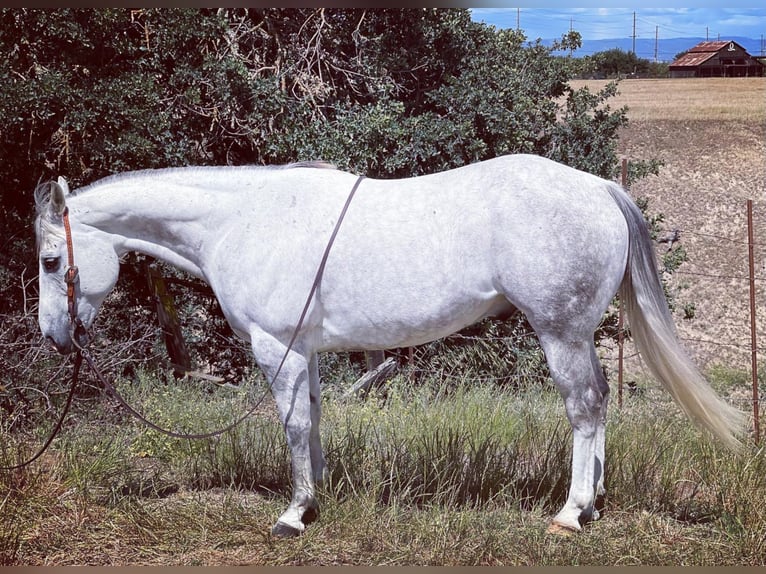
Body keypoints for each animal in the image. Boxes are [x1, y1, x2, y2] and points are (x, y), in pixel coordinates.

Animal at [33, 155, 748, 536]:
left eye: (48, 260)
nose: (55, 337)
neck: (245, 221)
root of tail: (598, 186)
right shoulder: (306, 352)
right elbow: (312, 420)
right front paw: (315, 496)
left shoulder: (276, 349)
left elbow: (292, 425)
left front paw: (292, 514)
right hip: (577, 335)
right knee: (596, 404)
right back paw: (592, 502)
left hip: (560, 333)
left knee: (585, 407)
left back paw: (570, 514)